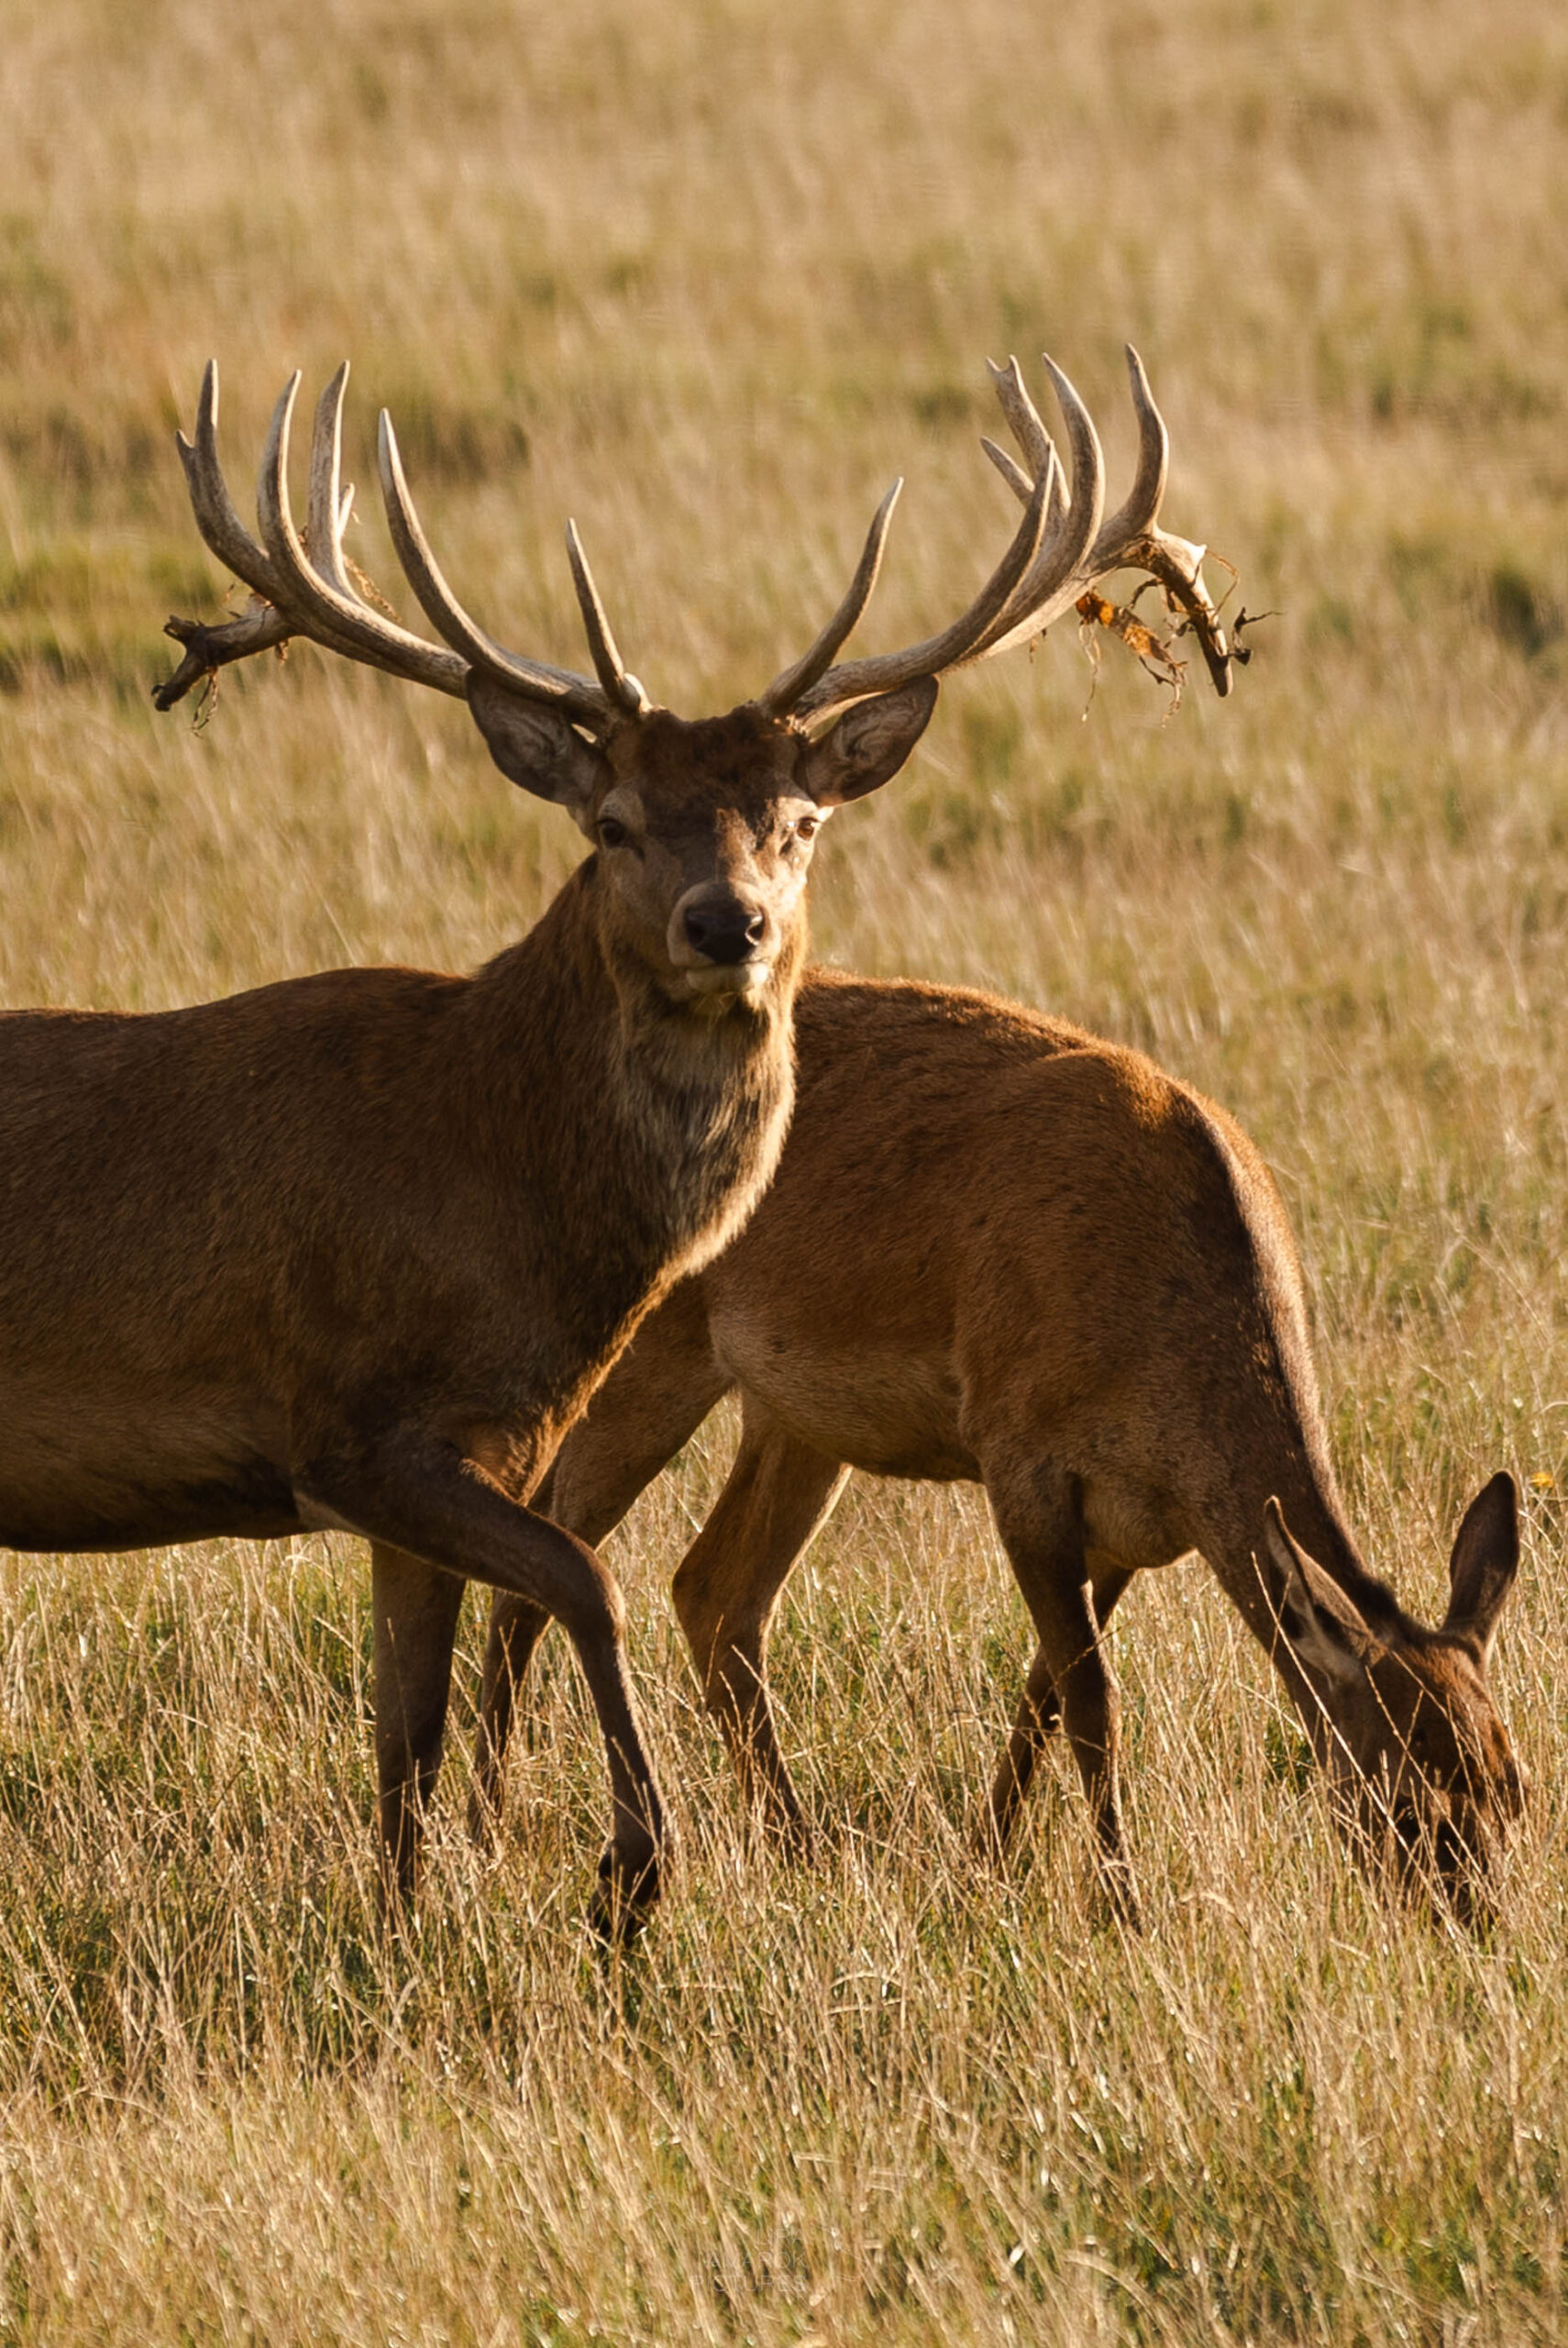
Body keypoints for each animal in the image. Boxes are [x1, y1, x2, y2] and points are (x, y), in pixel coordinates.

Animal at [0, 347, 1230, 1925]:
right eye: (612, 822)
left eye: (801, 820)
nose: (729, 924)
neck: (497, 1185)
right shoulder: (343, 1421)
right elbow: (586, 1581)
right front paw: (632, 1867)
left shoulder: (461, 1450)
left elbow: (401, 1745)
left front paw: (410, 1925)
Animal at [471, 971, 1520, 1925]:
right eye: (1409, 1801)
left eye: (1514, 1786)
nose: (1473, 1923)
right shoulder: (1018, 1450)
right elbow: (1093, 1700)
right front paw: (1119, 1905)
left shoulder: (1129, 1526)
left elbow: (1044, 1689)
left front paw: (985, 1864)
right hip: (648, 1346)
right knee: (547, 1558)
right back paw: (488, 1831)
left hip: (792, 1416)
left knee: (712, 1590)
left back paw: (800, 1849)